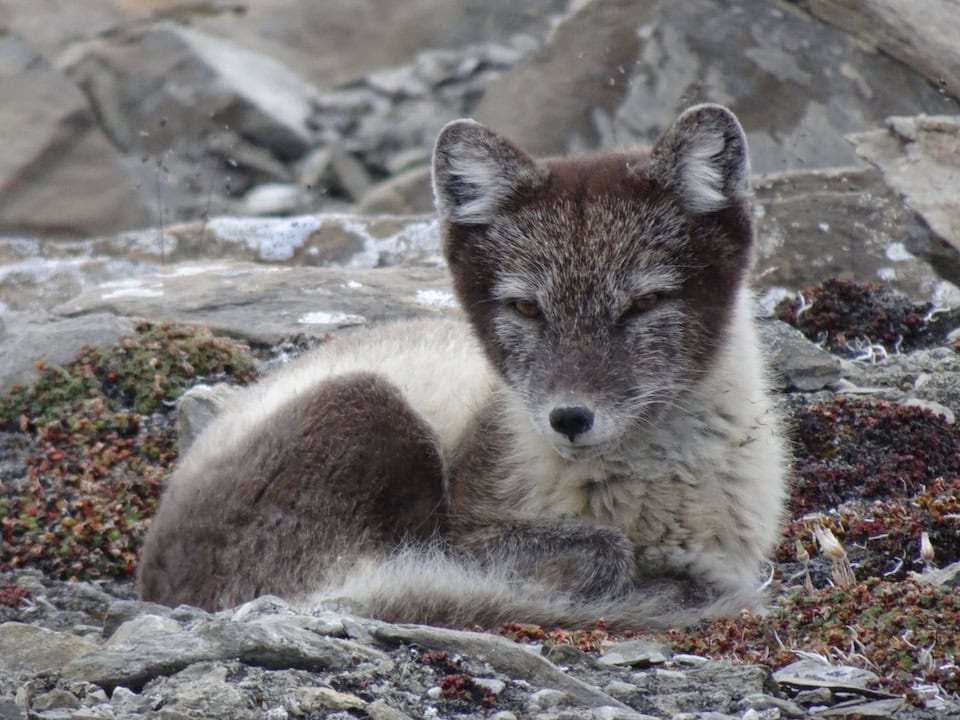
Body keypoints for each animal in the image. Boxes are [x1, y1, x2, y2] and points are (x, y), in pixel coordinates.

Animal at [137, 103, 789, 630]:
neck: (653, 487)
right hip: (367, 414)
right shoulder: (462, 532)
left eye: (644, 303)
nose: (569, 418)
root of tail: (154, 579)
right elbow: (606, 549)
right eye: (525, 307)